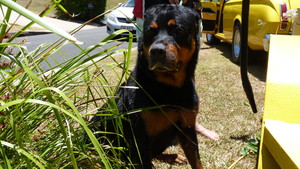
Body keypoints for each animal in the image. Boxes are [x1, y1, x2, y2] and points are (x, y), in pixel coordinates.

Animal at [90, 3, 205, 169]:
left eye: (178, 30)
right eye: (150, 31)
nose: (157, 50)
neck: (169, 89)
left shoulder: (187, 127)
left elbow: (196, 161)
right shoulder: (140, 137)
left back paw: (174, 157)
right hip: (96, 128)